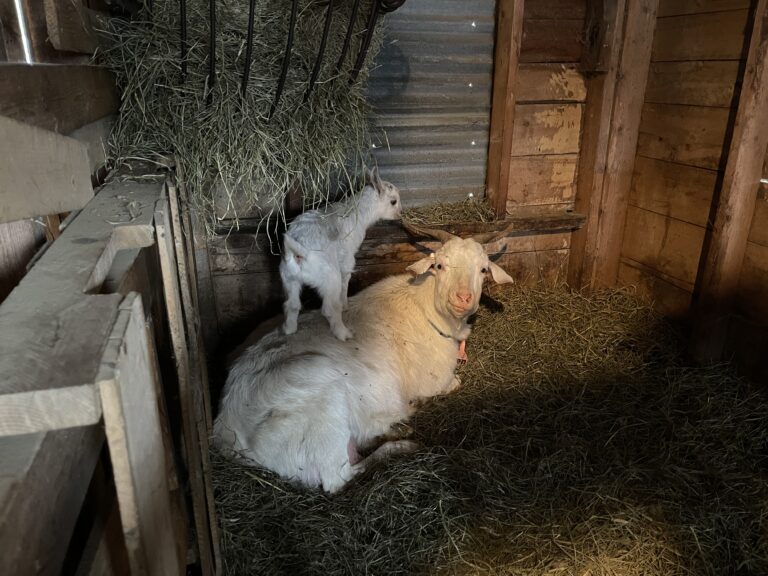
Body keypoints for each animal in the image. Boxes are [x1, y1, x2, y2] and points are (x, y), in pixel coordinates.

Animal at [214, 234, 513, 493]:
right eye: (440, 266)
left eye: (483, 270)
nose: (463, 299)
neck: (428, 309)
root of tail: (227, 426)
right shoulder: (437, 379)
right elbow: (455, 382)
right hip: (323, 408)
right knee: (338, 478)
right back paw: (401, 442)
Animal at [280, 167, 402, 341]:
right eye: (393, 201)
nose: (400, 214)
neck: (358, 212)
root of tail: (300, 253)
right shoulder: (347, 257)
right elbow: (346, 279)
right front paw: (345, 305)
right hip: (330, 278)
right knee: (329, 309)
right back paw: (344, 333)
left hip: (289, 277)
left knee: (292, 305)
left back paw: (289, 329)